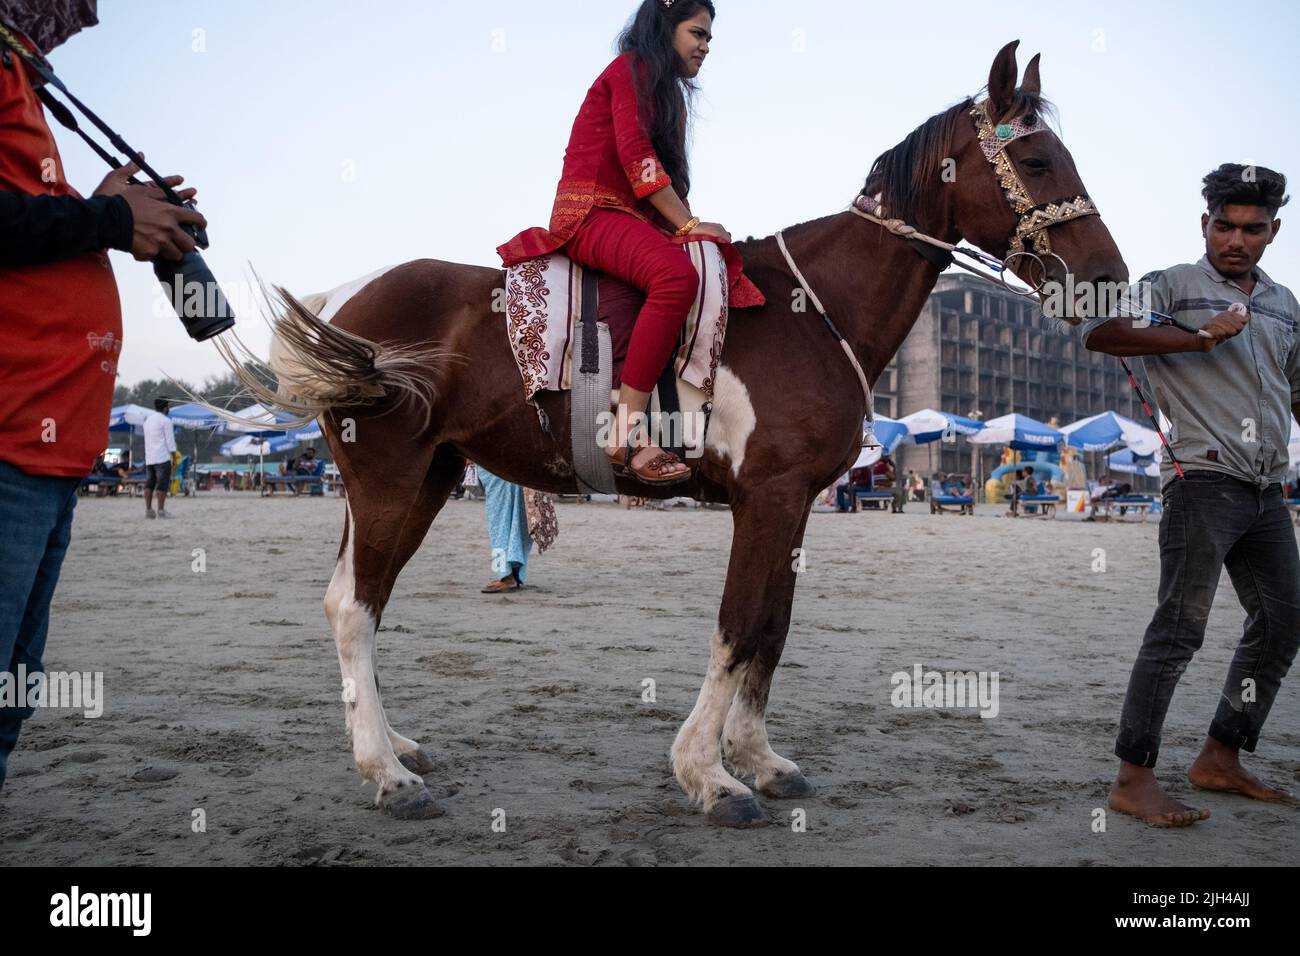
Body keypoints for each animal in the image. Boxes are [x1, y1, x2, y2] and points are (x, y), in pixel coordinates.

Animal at [223, 41, 1128, 827]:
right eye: (1037, 161)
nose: (1108, 279)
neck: (813, 307)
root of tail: (347, 295)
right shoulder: (766, 498)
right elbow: (738, 627)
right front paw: (710, 775)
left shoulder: (795, 505)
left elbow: (772, 629)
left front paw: (757, 758)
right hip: (389, 480)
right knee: (354, 607)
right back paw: (387, 773)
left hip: (429, 478)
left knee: (358, 600)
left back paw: (391, 746)